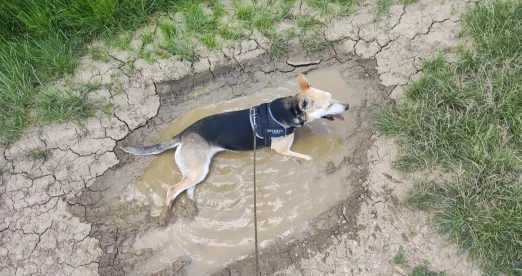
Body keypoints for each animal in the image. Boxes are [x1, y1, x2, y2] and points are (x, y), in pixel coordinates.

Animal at [121, 73, 348, 207]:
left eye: (332, 98)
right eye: (328, 104)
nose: (346, 106)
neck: (290, 109)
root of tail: (183, 133)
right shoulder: (281, 149)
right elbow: (306, 157)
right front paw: (314, 161)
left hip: (196, 171)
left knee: (187, 190)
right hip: (197, 170)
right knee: (172, 190)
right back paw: (168, 211)